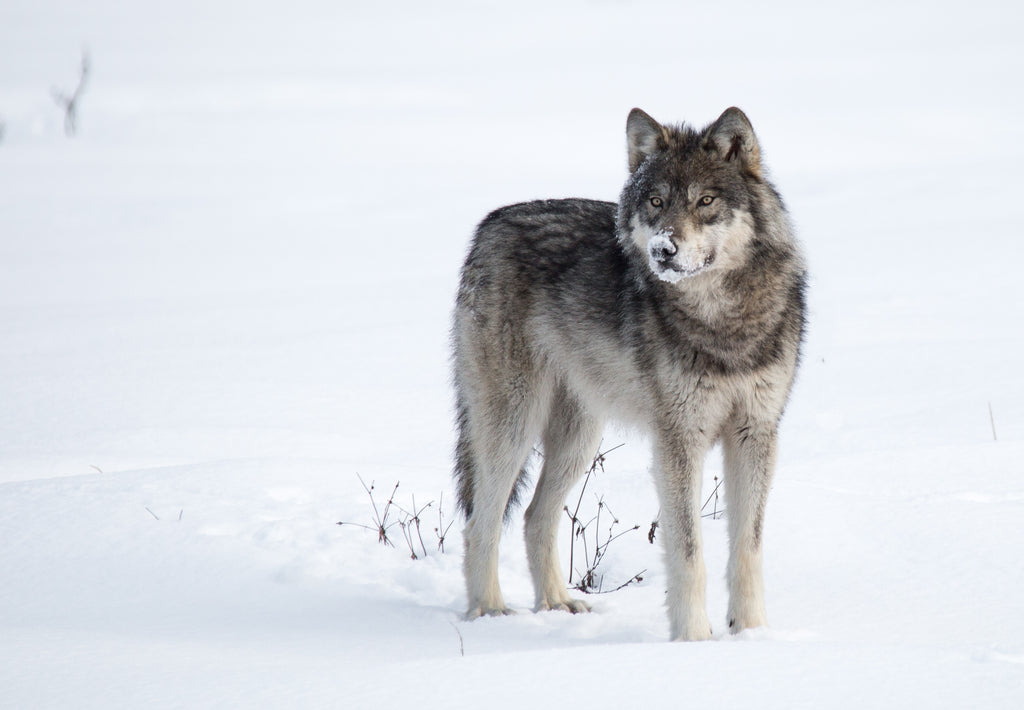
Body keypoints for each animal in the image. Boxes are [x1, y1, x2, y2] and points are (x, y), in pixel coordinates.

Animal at [451, 107, 806, 641]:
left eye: (705, 201)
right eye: (656, 202)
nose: (663, 249)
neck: (723, 323)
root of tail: (490, 224)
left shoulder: (755, 432)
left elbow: (749, 548)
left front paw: (751, 633)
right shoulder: (679, 438)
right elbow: (689, 550)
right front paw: (694, 638)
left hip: (579, 436)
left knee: (535, 517)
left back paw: (557, 605)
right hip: (513, 425)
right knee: (481, 523)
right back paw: (491, 614)